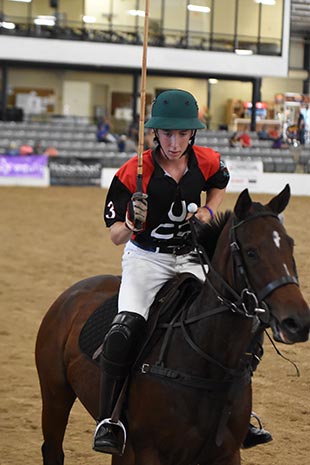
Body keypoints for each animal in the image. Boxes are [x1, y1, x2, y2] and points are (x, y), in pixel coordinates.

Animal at [35, 185, 308, 464]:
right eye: (251, 252)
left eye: (290, 245)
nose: (297, 322)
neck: (209, 363)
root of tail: (73, 292)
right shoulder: (149, 451)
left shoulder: (227, 454)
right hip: (55, 393)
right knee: (53, 448)